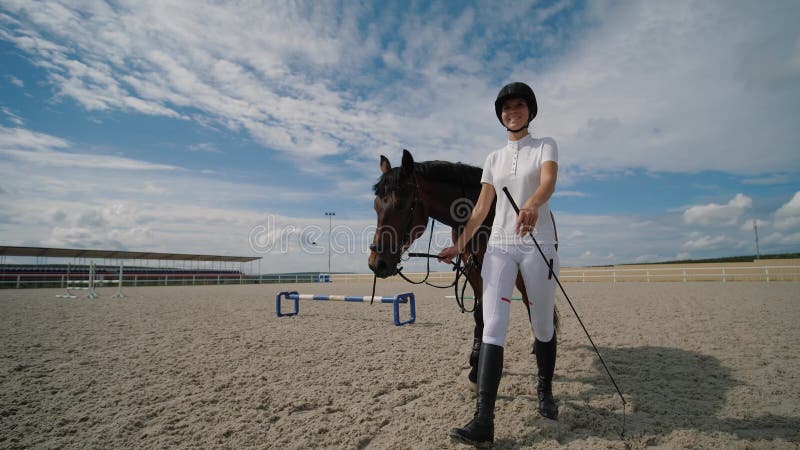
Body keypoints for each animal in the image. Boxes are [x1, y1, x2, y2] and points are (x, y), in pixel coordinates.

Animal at [368, 149, 552, 382]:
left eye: (401, 205)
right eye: (376, 206)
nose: (377, 263)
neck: (477, 217)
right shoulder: (471, 268)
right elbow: (479, 313)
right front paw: (475, 360)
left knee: (531, 303)